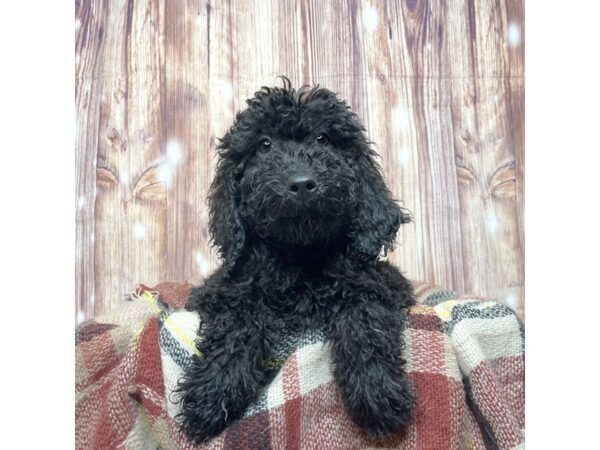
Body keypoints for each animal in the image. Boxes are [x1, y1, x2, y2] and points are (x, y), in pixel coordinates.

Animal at [176, 77, 414, 442]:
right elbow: (238, 324)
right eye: (264, 145)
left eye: (323, 139)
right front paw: (213, 392)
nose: (301, 183)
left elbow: (364, 317)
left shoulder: (379, 282)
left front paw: (377, 390)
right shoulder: (226, 288)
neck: (299, 254)